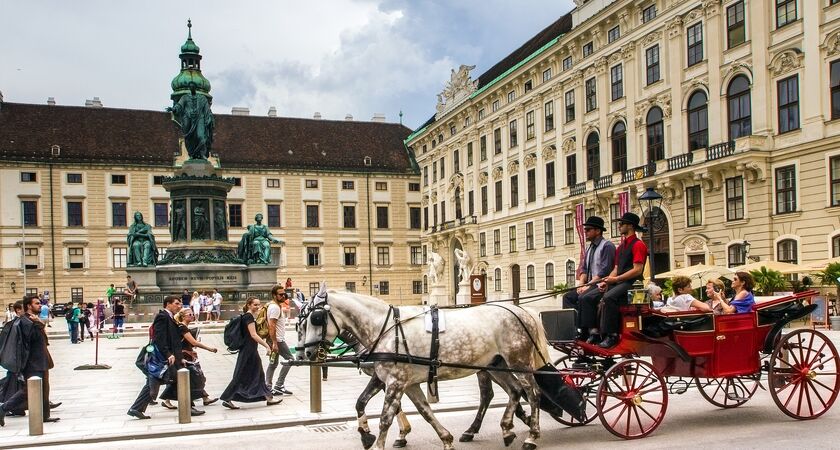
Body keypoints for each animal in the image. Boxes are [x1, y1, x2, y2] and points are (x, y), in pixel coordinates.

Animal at [300, 290, 544, 448]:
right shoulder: (399, 381)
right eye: (301, 324)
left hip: (519, 362)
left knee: (532, 393)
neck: (386, 328)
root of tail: (522, 311)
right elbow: (422, 410)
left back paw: (531, 435)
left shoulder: (396, 381)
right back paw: (506, 428)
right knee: (513, 391)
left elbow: (386, 417)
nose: (307, 353)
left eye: (316, 318)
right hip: (496, 365)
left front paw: (381, 440)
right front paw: (445, 438)